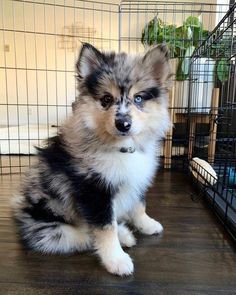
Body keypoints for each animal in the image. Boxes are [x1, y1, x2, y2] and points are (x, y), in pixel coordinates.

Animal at [13, 42, 171, 276]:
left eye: (138, 98)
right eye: (106, 99)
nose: (123, 124)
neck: (122, 148)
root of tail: (21, 210)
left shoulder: (135, 180)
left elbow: (138, 206)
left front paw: (147, 224)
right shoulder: (94, 190)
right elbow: (105, 228)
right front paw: (116, 259)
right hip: (51, 230)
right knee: (84, 235)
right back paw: (123, 236)